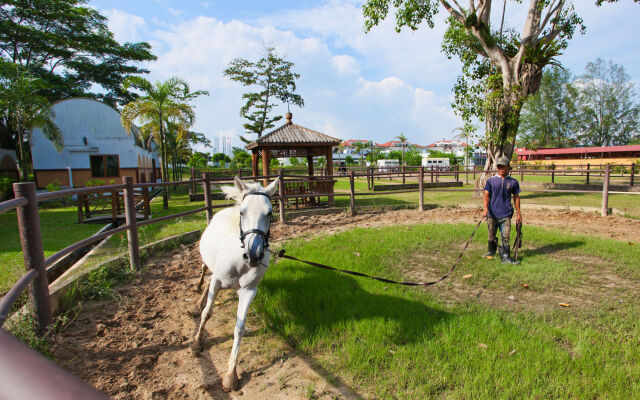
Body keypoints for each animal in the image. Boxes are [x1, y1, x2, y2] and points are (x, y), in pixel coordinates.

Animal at [192, 177, 278, 392]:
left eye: (269, 213)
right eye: (243, 212)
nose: (254, 255)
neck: (239, 260)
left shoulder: (248, 291)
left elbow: (239, 328)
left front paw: (231, 375)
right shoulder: (218, 281)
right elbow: (207, 312)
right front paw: (197, 342)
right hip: (207, 262)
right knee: (204, 272)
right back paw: (197, 296)